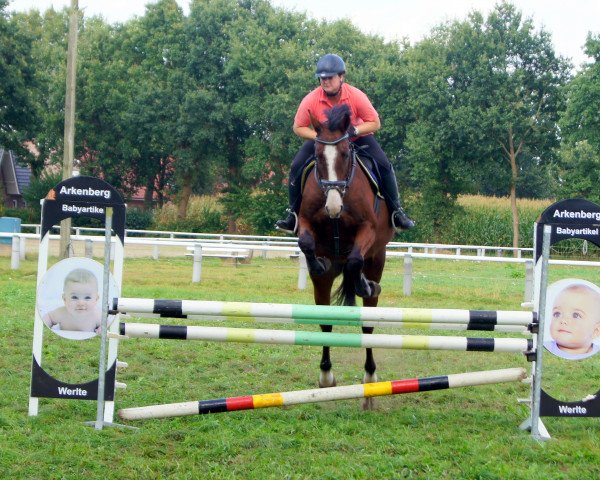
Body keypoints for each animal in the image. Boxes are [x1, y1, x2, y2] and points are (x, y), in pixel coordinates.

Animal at [298, 104, 396, 408]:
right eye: (318, 156)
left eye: (344, 154)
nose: (333, 207)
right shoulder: (305, 221)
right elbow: (305, 242)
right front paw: (317, 263)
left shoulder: (368, 230)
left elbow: (355, 261)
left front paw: (363, 284)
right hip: (324, 287)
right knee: (326, 320)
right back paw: (326, 376)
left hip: (378, 259)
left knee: (368, 326)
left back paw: (370, 382)